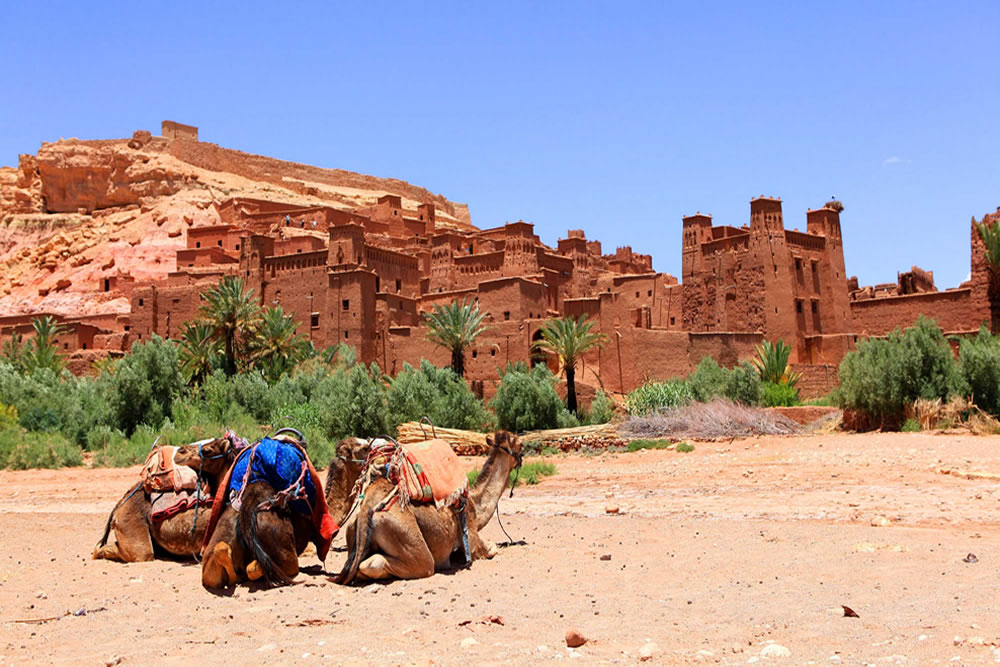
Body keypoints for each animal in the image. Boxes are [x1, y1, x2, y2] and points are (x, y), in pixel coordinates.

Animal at [334, 431, 523, 584]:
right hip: (407, 538)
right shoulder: (472, 539)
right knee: (387, 563)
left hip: (352, 530)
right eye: (519, 444)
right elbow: (492, 548)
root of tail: (366, 508)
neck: (476, 503)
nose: (522, 454)